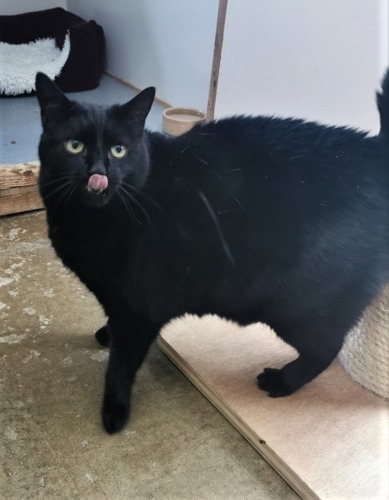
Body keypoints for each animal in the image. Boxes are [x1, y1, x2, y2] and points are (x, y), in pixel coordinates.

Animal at [34, 71, 386, 434]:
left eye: (119, 150)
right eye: (74, 145)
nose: (98, 174)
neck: (87, 219)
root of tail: (373, 151)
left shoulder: (138, 310)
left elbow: (119, 366)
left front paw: (114, 410)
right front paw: (106, 333)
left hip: (294, 306)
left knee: (327, 347)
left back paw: (282, 381)